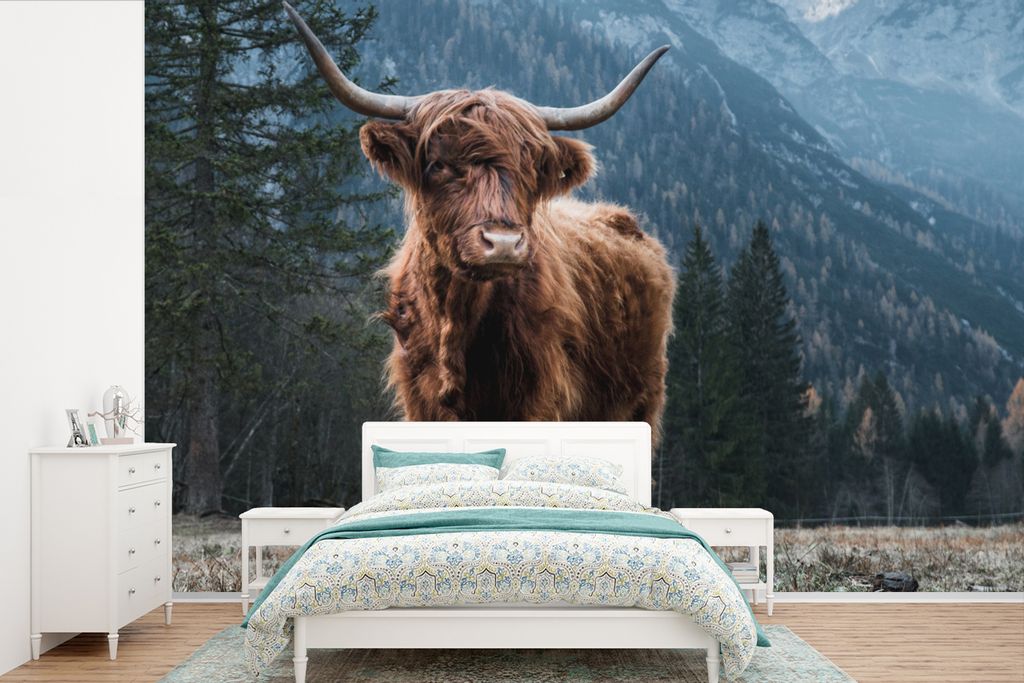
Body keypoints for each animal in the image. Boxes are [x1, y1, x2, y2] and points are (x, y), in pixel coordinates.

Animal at [286, 3, 675, 441]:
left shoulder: (540, 398)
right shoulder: (418, 400)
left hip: (641, 401)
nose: (502, 243)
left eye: (530, 168)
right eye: (438, 164)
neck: (455, 320)